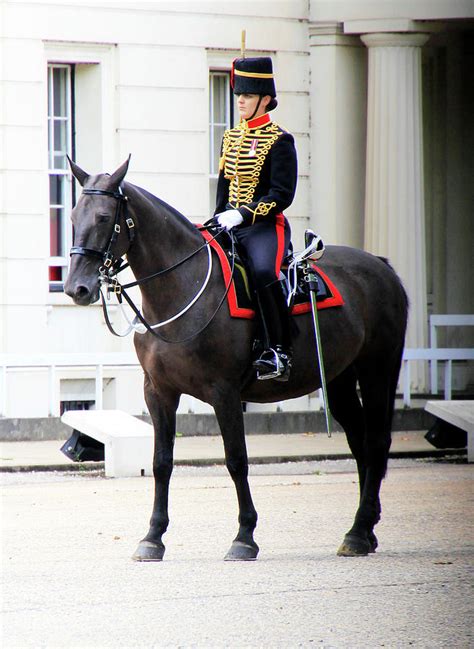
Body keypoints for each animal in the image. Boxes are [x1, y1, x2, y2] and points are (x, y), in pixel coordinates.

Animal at [65, 158, 410, 560]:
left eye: (104, 217)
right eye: (72, 215)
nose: (76, 288)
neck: (180, 288)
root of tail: (382, 265)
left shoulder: (224, 392)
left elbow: (236, 459)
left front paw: (244, 535)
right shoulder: (158, 392)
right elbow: (161, 462)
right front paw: (153, 537)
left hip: (378, 369)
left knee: (376, 441)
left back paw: (359, 529)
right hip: (339, 378)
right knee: (359, 441)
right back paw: (363, 530)